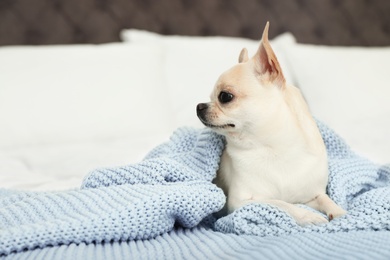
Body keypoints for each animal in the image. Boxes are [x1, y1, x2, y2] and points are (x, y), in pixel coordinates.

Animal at [197, 22, 346, 225]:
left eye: (225, 97)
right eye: (210, 97)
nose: (199, 106)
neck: (273, 148)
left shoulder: (311, 196)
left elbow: (325, 199)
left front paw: (339, 212)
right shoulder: (242, 201)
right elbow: (282, 203)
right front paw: (308, 216)